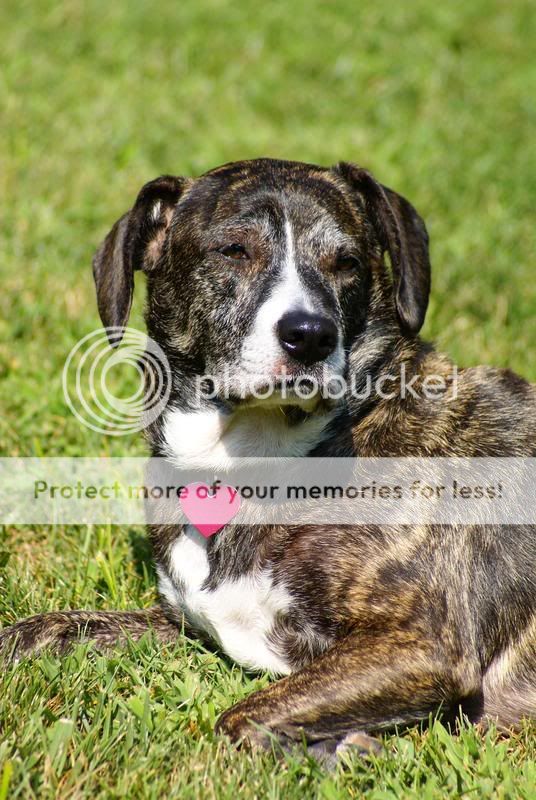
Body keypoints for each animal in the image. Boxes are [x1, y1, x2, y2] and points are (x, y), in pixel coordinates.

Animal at [1, 158, 536, 764]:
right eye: (234, 251)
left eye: (347, 262)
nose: (310, 335)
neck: (252, 464)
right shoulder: (179, 623)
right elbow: (53, 627)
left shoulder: (422, 644)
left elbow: (238, 720)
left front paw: (338, 749)